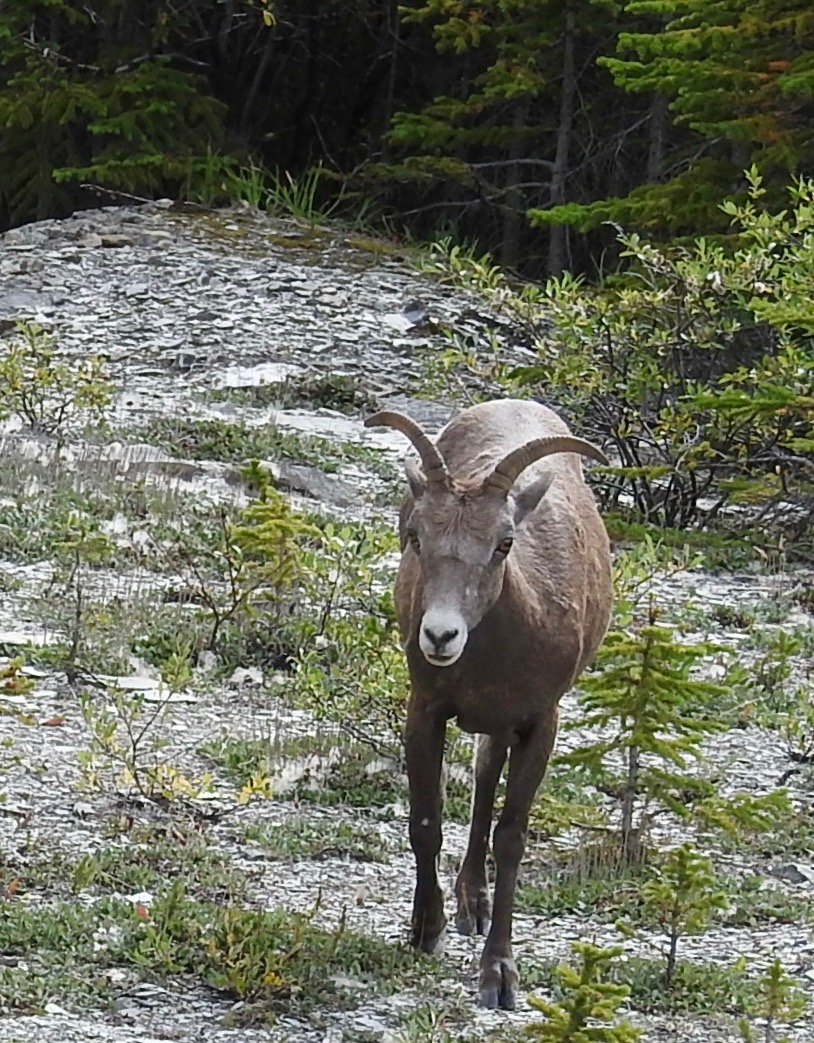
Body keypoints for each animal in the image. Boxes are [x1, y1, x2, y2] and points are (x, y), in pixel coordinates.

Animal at [364, 398, 613, 1011]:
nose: (440, 636)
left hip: (503, 728)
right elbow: (426, 820)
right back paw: (465, 906)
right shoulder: (426, 711)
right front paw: (424, 930)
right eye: (416, 536)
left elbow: (512, 838)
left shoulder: (540, 724)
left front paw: (498, 977)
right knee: (480, 780)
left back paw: (474, 907)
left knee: (484, 784)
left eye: (504, 543)